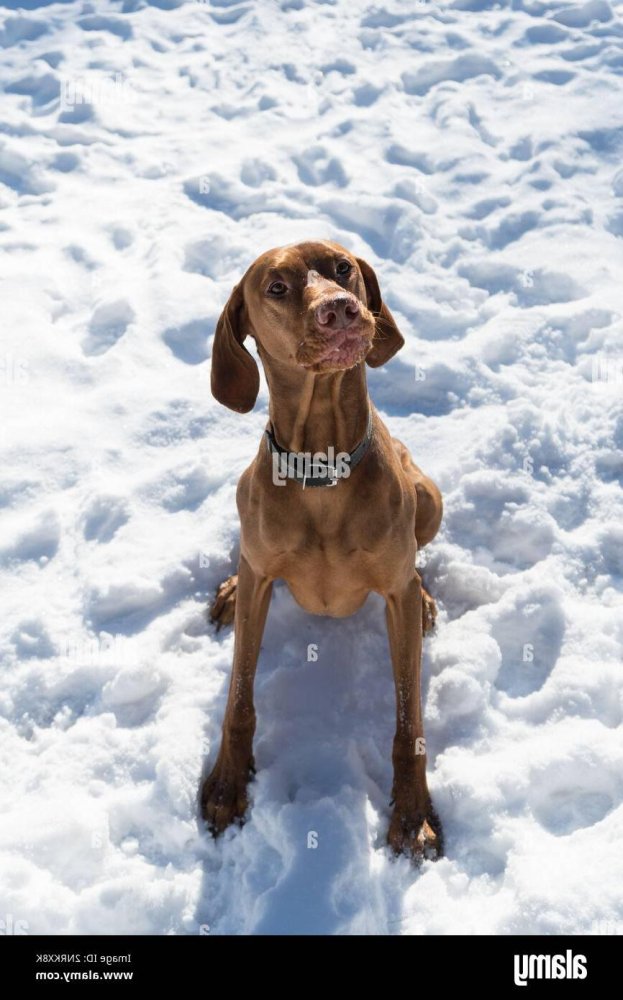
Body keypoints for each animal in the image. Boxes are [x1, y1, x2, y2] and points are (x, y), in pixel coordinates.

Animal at [201, 240, 444, 860]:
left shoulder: (393, 591)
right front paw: (227, 786)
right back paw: (229, 586)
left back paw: (427, 598)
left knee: (419, 566)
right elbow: (238, 702)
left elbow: (410, 726)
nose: (339, 309)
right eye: (276, 287)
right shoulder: (264, 582)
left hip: (429, 496)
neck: (323, 467)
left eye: (342, 268)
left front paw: (412, 814)